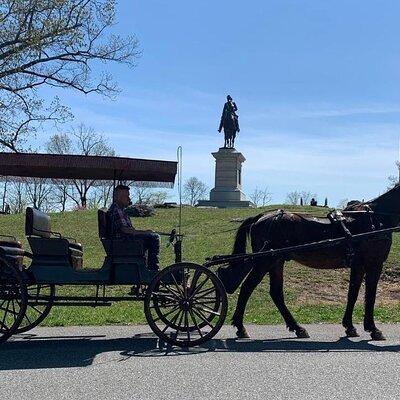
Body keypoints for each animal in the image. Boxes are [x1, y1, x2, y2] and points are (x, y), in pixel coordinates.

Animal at [219, 184, 400, 340]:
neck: (376, 217)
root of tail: (261, 217)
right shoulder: (374, 263)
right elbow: (370, 296)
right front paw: (373, 328)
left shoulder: (358, 265)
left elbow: (353, 295)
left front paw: (349, 326)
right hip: (265, 261)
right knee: (247, 288)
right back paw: (241, 327)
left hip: (276, 261)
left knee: (276, 293)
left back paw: (297, 327)